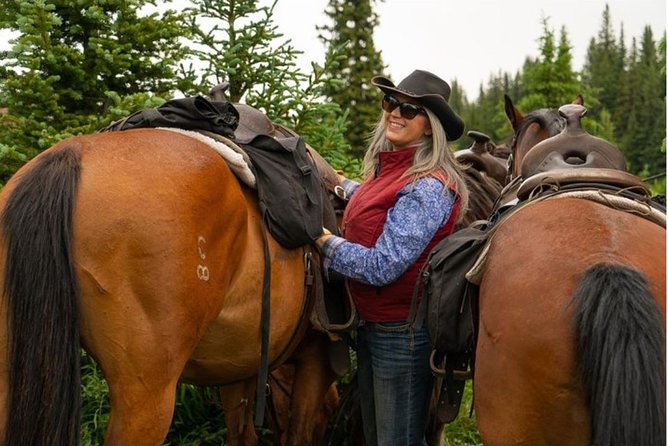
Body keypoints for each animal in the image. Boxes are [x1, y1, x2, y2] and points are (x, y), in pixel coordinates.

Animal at [0, 123, 344, 446]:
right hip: (147, 392)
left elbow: (242, 434)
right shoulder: (315, 361)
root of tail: (70, 156)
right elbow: (297, 431)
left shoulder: (239, 363)